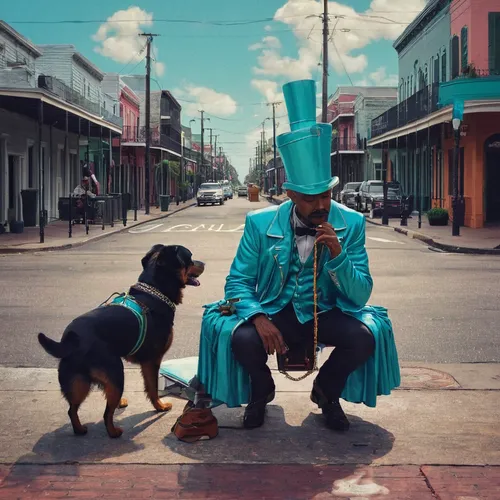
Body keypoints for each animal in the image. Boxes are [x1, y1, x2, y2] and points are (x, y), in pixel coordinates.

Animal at [37, 245, 205, 438]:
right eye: (190, 258)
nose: (204, 263)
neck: (154, 292)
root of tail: (71, 341)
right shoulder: (152, 361)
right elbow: (153, 388)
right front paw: (160, 406)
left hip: (78, 381)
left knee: (72, 409)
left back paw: (80, 429)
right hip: (115, 371)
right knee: (104, 413)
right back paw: (113, 431)